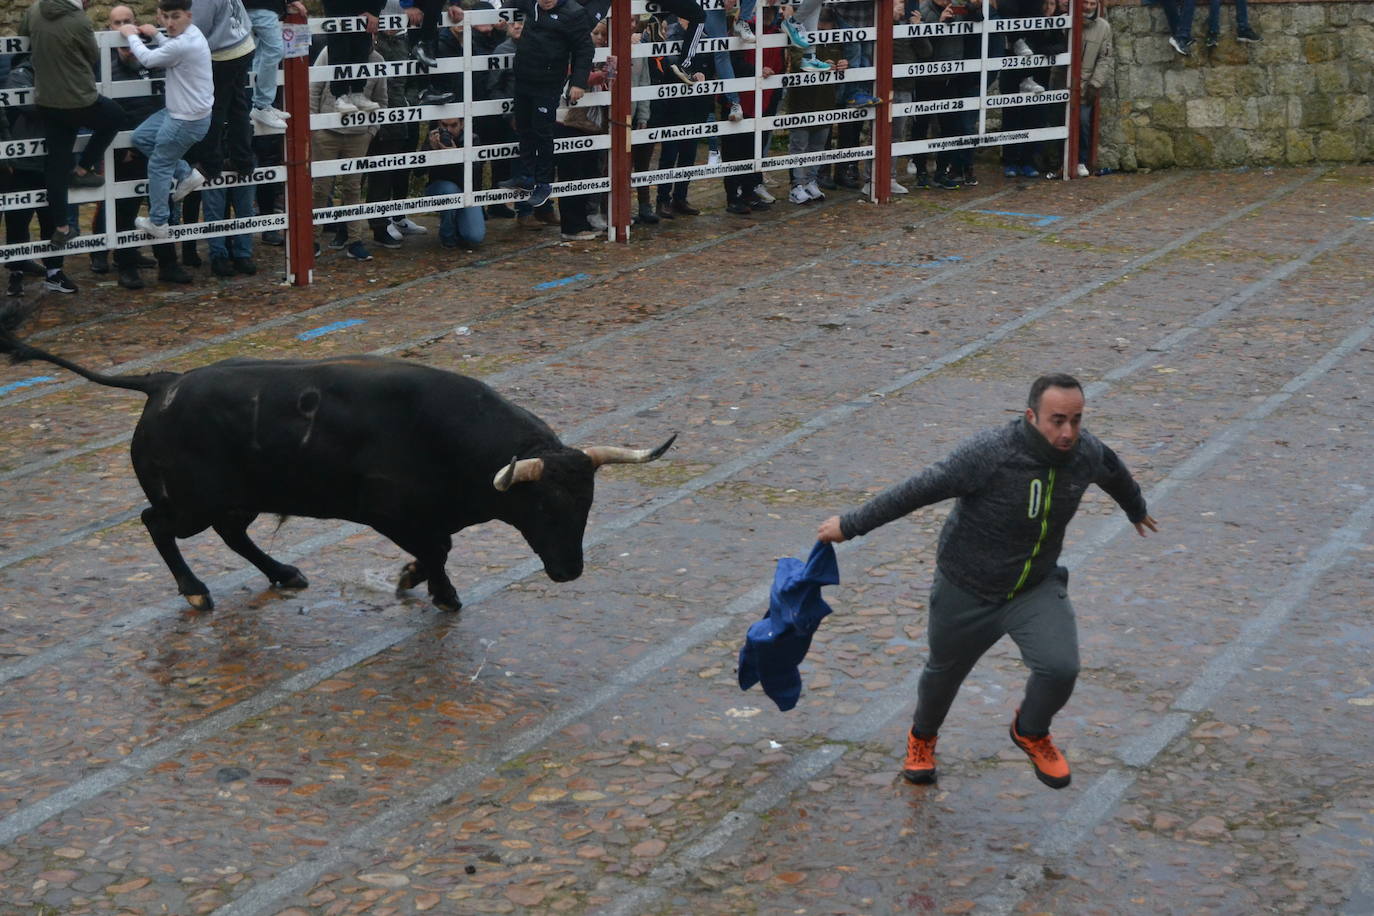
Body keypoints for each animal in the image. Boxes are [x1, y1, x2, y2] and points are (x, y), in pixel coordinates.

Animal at [0, 328, 676, 609]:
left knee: (233, 533)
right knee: (156, 524)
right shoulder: (389, 512)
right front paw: (435, 590)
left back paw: (283, 573)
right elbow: (438, 550)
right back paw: (195, 591)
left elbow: (439, 547)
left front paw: (417, 581)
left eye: (587, 504)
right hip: (190, 502)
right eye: (539, 505)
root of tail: (162, 383)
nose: (568, 571)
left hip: (240, 497)